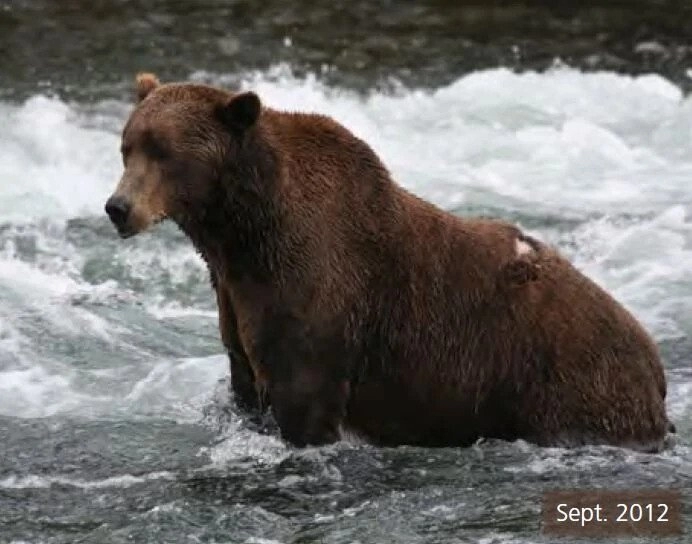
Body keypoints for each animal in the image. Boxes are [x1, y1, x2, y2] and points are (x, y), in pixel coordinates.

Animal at [105, 72, 672, 450]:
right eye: (128, 146)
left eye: (165, 151)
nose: (118, 207)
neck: (244, 232)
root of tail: (654, 362)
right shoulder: (235, 294)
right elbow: (244, 377)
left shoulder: (315, 286)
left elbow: (304, 396)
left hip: (565, 383)